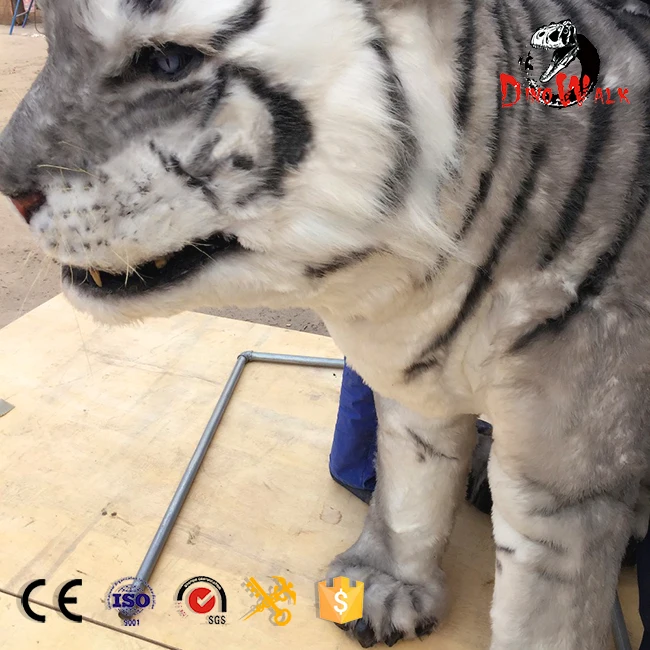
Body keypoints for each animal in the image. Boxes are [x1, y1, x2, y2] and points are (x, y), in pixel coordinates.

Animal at [1, 0, 650, 647]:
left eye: (167, 61)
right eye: (52, 42)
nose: (9, 191)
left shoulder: (566, 479)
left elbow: (542, 612)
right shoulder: (416, 399)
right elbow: (412, 488)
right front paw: (384, 586)